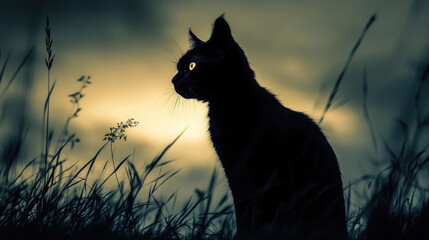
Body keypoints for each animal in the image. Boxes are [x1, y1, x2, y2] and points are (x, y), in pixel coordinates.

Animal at [171, 15, 348, 239]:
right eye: (178, 68)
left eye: (192, 66)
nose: (173, 79)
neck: (228, 109)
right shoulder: (235, 173)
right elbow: (243, 212)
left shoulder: (264, 174)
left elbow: (257, 214)